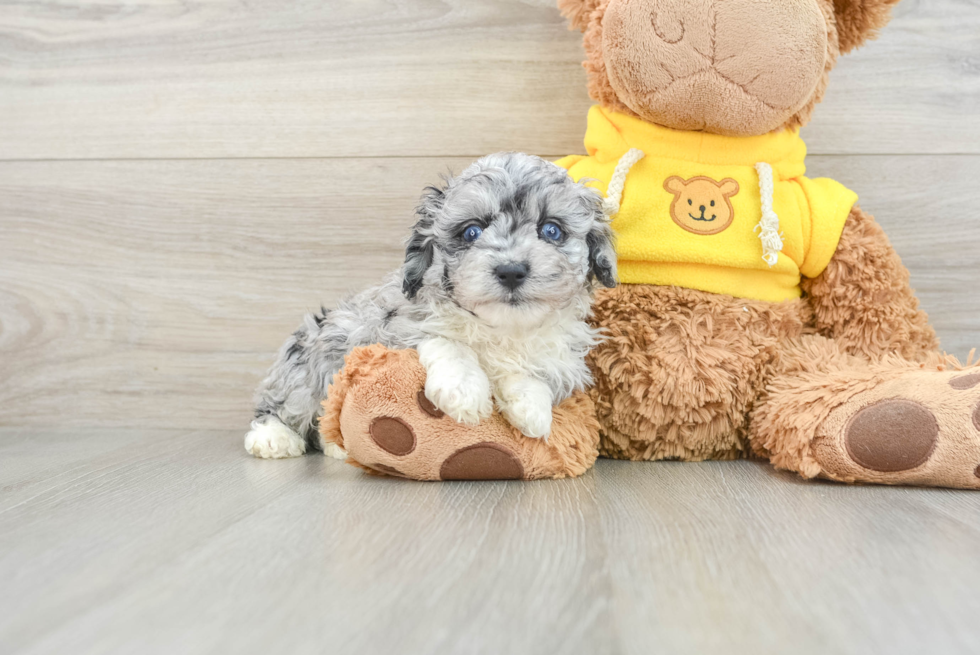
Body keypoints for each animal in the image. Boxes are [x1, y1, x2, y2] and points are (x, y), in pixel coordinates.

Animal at [243, 154, 612, 462]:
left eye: (552, 230)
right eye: (471, 231)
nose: (511, 270)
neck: (503, 327)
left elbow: (527, 372)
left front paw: (532, 407)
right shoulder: (395, 329)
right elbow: (447, 341)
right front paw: (465, 392)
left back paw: (337, 446)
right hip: (308, 364)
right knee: (282, 406)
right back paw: (274, 438)